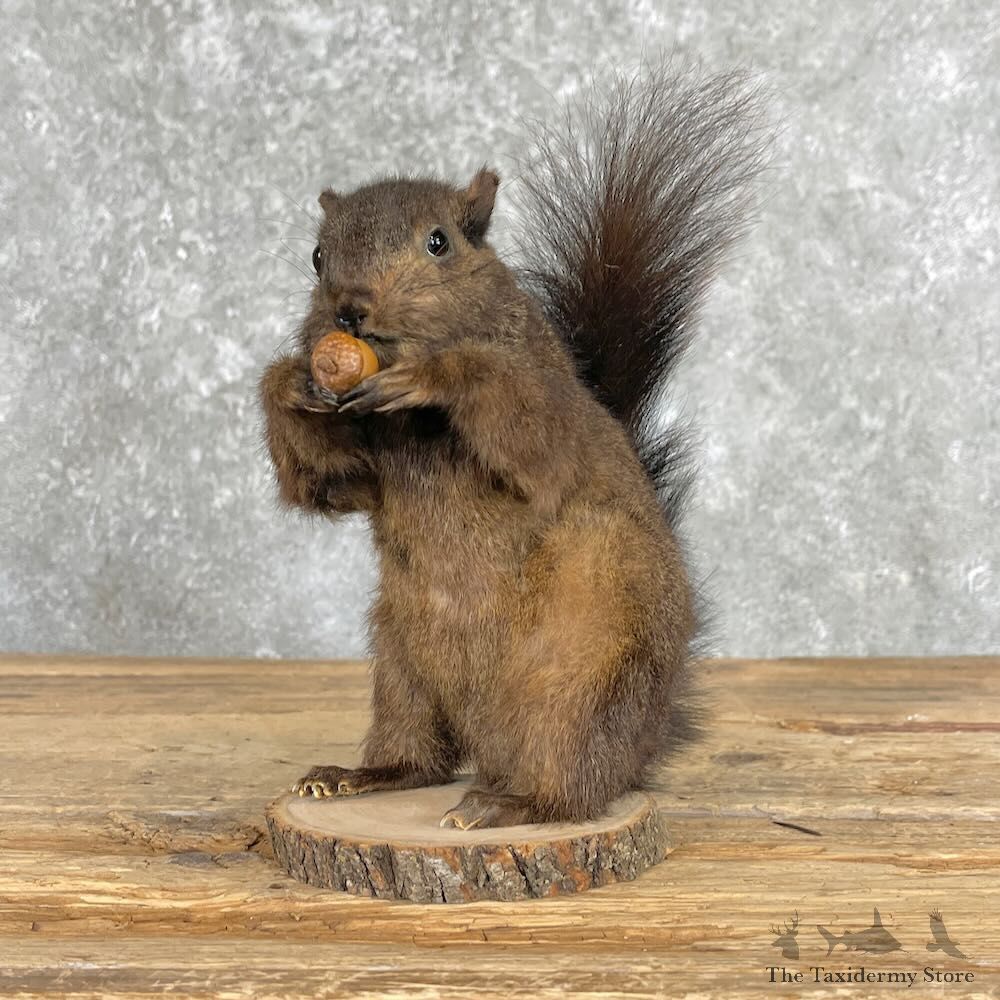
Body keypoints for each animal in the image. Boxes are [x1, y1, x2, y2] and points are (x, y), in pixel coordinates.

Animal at [258, 66, 766, 830]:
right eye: (318, 257)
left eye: (439, 243)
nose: (349, 307)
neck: (411, 430)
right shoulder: (362, 469)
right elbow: (325, 484)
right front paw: (289, 381)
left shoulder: (550, 407)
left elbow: (529, 435)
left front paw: (435, 375)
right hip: (401, 669)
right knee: (422, 756)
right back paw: (360, 775)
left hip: (579, 686)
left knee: (573, 783)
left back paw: (508, 804)